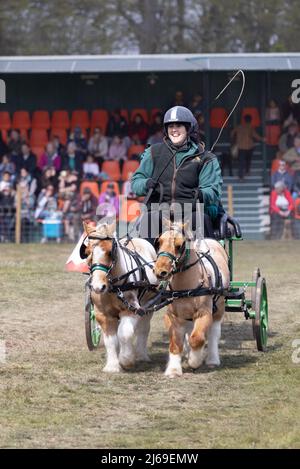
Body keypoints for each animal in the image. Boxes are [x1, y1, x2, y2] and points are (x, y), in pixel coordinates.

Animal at [82, 221, 157, 372]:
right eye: (87, 253)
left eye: (110, 252)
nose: (98, 287)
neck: (114, 287)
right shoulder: (102, 314)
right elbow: (111, 339)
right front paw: (112, 365)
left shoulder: (131, 309)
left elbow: (125, 333)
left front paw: (126, 360)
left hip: (148, 305)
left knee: (143, 328)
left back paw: (141, 355)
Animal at [155, 221, 230, 378]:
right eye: (159, 242)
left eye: (180, 245)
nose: (160, 271)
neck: (185, 287)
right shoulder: (173, 316)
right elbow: (176, 343)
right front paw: (173, 370)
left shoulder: (204, 314)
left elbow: (197, 339)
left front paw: (194, 361)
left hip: (219, 307)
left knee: (213, 334)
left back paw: (212, 359)